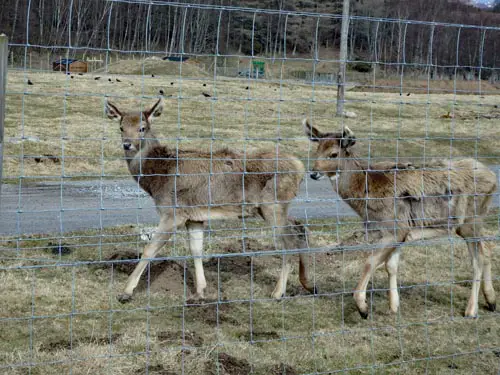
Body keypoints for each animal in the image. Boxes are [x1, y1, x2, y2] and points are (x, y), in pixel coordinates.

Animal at [104, 98, 316, 304]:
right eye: (121, 127)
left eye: (142, 127)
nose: (127, 144)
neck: (156, 178)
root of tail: (300, 168)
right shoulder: (194, 216)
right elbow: (196, 250)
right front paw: (200, 293)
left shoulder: (172, 212)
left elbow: (149, 250)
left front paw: (125, 292)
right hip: (271, 207)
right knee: (299, 228)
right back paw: (308, 284)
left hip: (273, 204)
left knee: (288, 242)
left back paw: (278, 292)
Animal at [302, 119, 498, 318]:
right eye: (316, 151)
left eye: (333, 154)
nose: (313, 173)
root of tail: (493, 176)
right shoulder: (399, 232)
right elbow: (391, 266)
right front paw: (393, 307)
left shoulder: (395, 227)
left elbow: (370, 262)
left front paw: (362, 307)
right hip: (473, 222)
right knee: (488, 250)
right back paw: (491, 301)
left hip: (470, 221)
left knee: (478, 258)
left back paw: (471, 310)